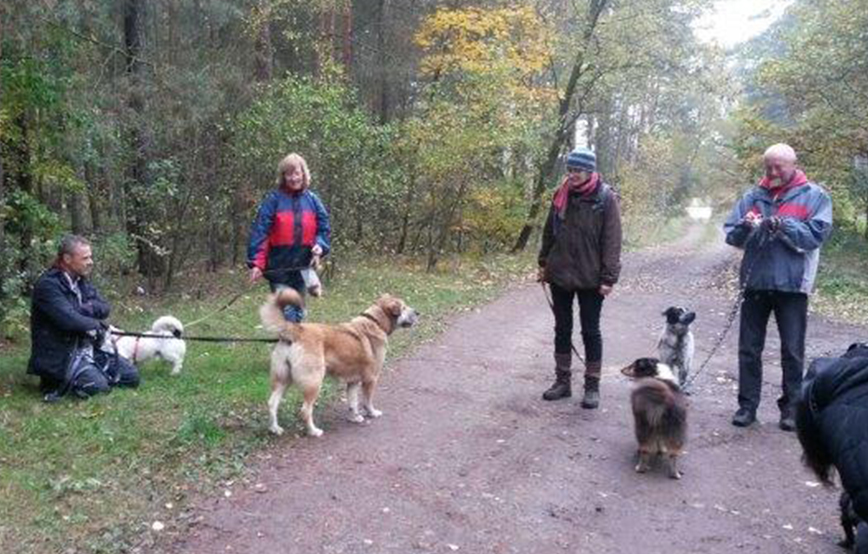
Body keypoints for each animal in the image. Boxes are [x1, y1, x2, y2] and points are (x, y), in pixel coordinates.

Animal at [260, 284, 418, 436]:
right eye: (403, 307)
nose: (418, 313)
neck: (375, 321)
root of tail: (296, 330)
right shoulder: (371, 379)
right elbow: (367, 401)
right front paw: (372, 413)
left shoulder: (353, 381)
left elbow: (353, 403)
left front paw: (354, 418)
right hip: (314, 383)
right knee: (305, 411)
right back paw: (313, 431)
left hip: (283, 379)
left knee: (272, 404)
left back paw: (274, 428)